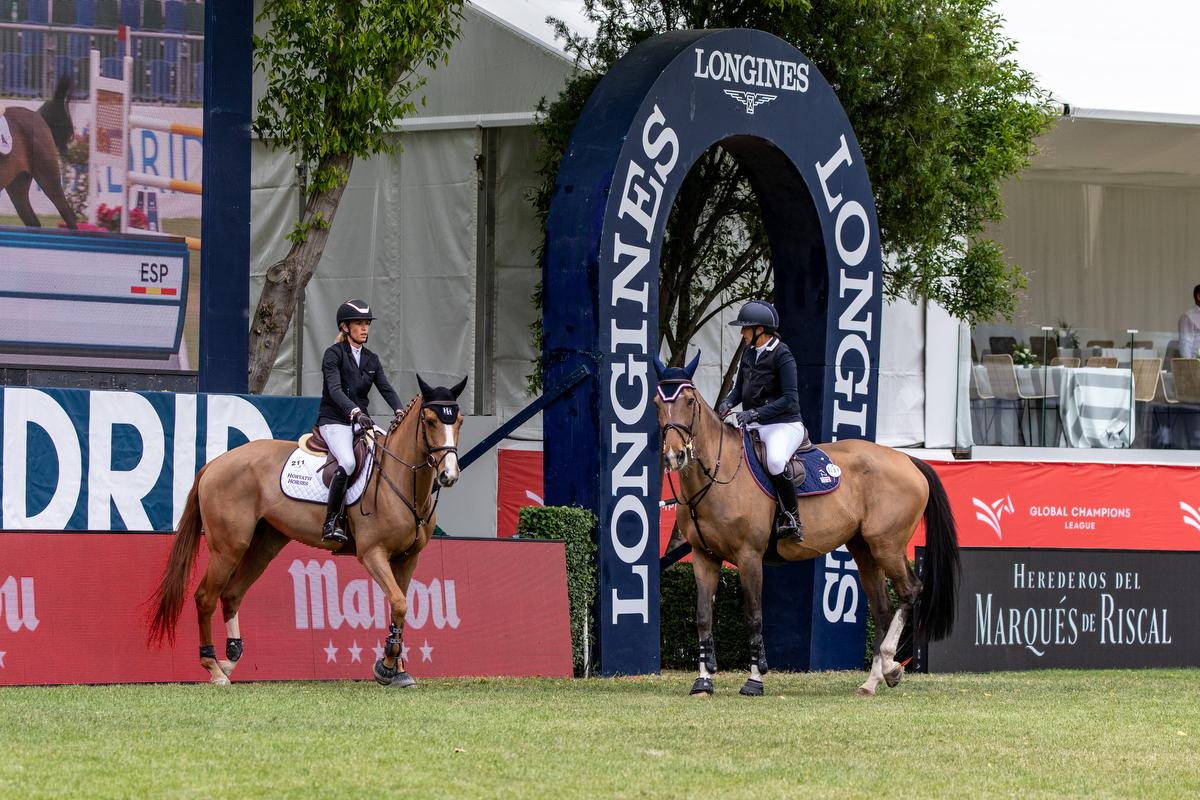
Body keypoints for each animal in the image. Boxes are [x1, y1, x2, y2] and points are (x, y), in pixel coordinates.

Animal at [147, 376, 465, 690]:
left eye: (459, 420)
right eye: (430, 420)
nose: (449, 475)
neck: (402, 482)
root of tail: (215, 463)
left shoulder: (407, 558)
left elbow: (398, 608)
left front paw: (398, 670)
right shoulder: (373, 553)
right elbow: (398, 603)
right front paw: (385, 668)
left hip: (263, 546)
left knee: (231, 595)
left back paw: (230, 660)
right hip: (228, 548)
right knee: (205, 597)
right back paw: (214, 668)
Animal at [652, 352, 960, 695]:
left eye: (690, 400)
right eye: (657, 402)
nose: (675, 456)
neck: (719, 473)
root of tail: (907, 460)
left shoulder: (749, 556)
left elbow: (754, 617)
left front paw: (754, 681)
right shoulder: (703, 556)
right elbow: (704, 617)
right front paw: (703, 682)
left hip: (887, 546)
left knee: (909, 591)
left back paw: (890, 665)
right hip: (864, 548)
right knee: (882, 607)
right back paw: (875, 679)